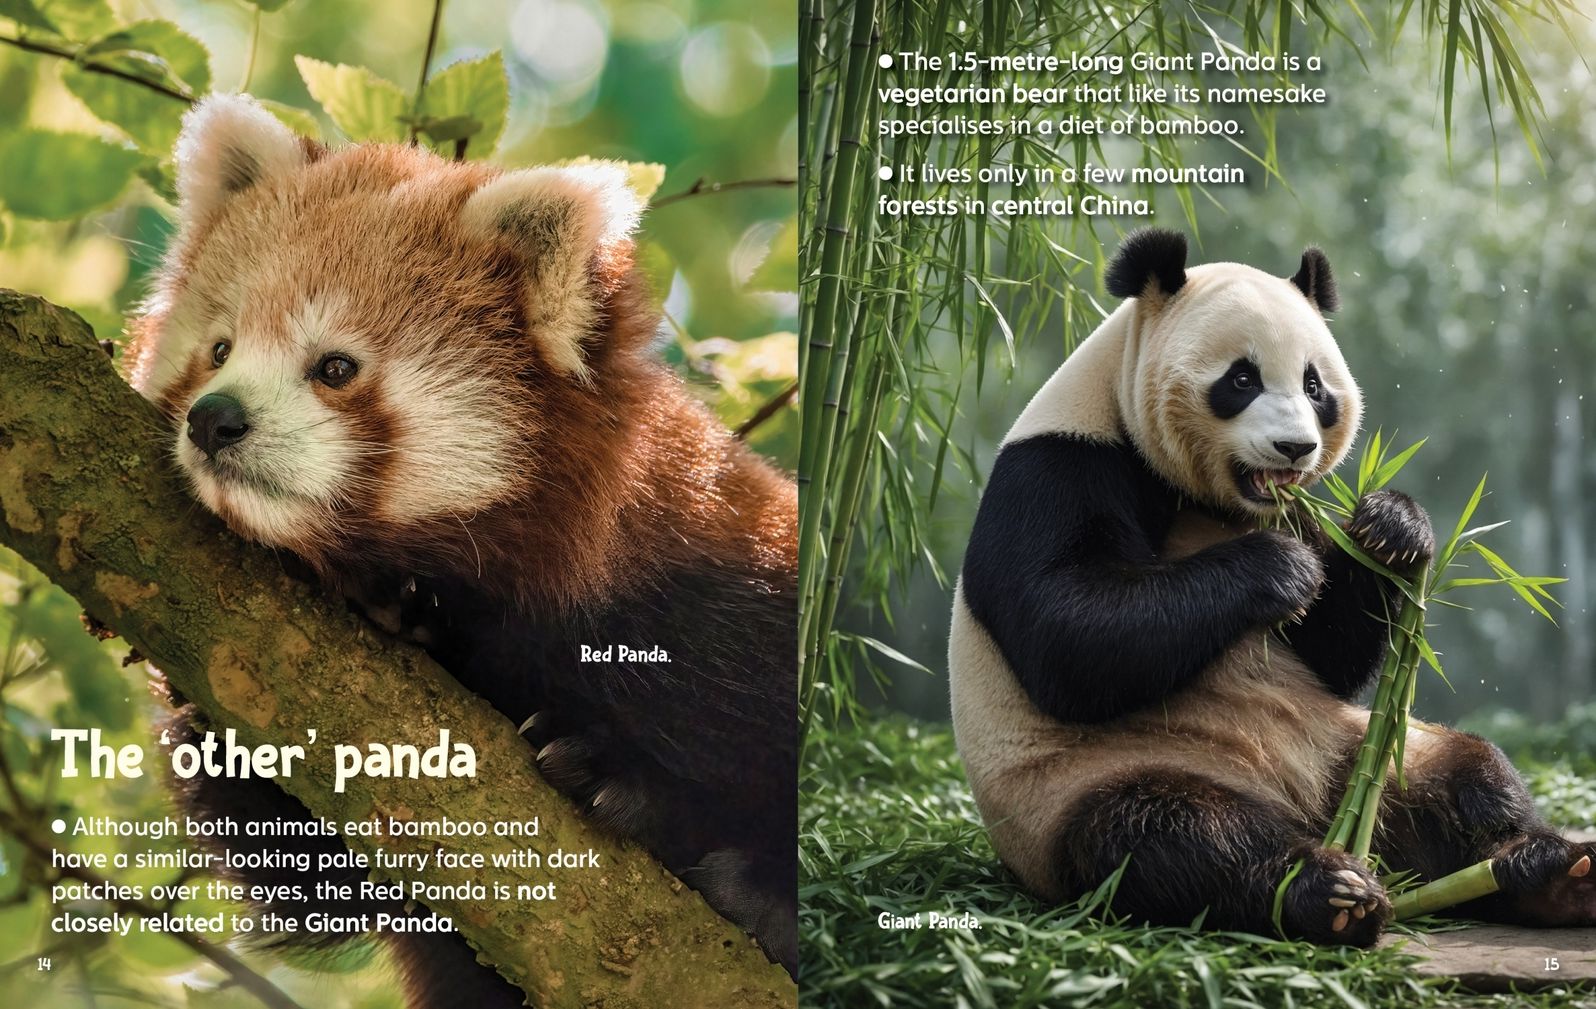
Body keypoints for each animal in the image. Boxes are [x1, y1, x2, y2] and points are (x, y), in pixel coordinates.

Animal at [125, 95, 796, 1003]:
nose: (214, 418)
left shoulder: (723, 588)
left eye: (335, 367)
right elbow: (318, 875)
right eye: (220, 349)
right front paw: (398, 616)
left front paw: (629, 785)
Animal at [949, 228, 1596, 945]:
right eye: (1241, 379)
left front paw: (1393, 530)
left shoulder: (1298, 512)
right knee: (1167, 837)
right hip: (1085, 781)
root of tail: (1308, 809)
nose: (1295, 448)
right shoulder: (1058, 467)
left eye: (1315, 386)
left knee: (1463, 772)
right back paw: (1330, 892)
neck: (1214, 503)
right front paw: (1278, 570)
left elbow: (1329, 652)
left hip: (1364, 749)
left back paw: (1546, 872)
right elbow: (1067, 636)